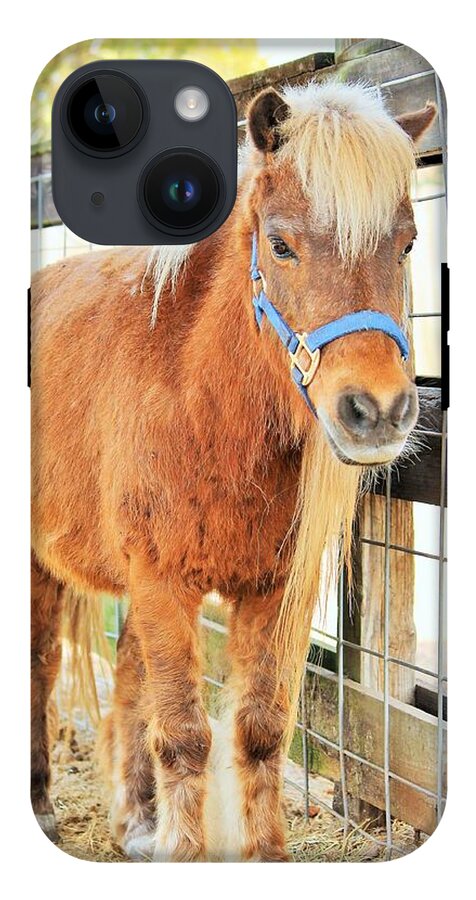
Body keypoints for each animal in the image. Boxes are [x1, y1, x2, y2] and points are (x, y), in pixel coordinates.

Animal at [30, 79, 436, 861]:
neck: (200, 400)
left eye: (406, 243)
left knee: (128, 679)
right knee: (41, 669)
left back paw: (136, 822)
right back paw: (41, 805)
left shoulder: (270, 592)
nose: (377, 410)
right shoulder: (162, 582)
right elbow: (186, 737)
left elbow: (259, 732)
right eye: (279, 244)